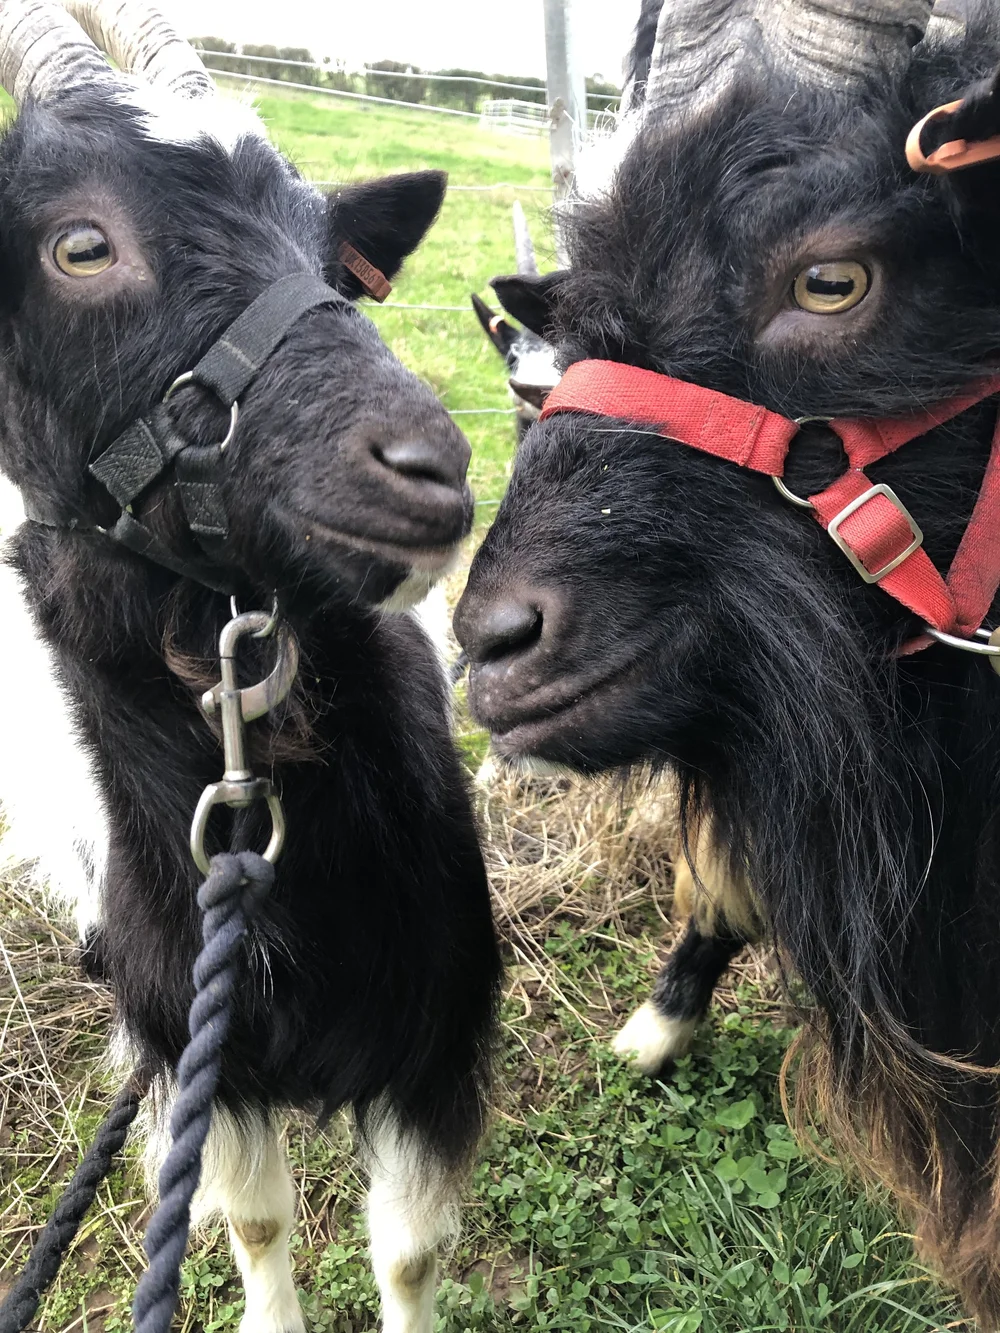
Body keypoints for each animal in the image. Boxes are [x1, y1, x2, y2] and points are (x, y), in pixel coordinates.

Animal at [0, 4, 500, 1331]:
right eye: (80, 244)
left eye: (338, 258)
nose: (428, 465)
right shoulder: (200, 1052)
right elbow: (258, 1221)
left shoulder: (435, 1024)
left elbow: (408, 1253)